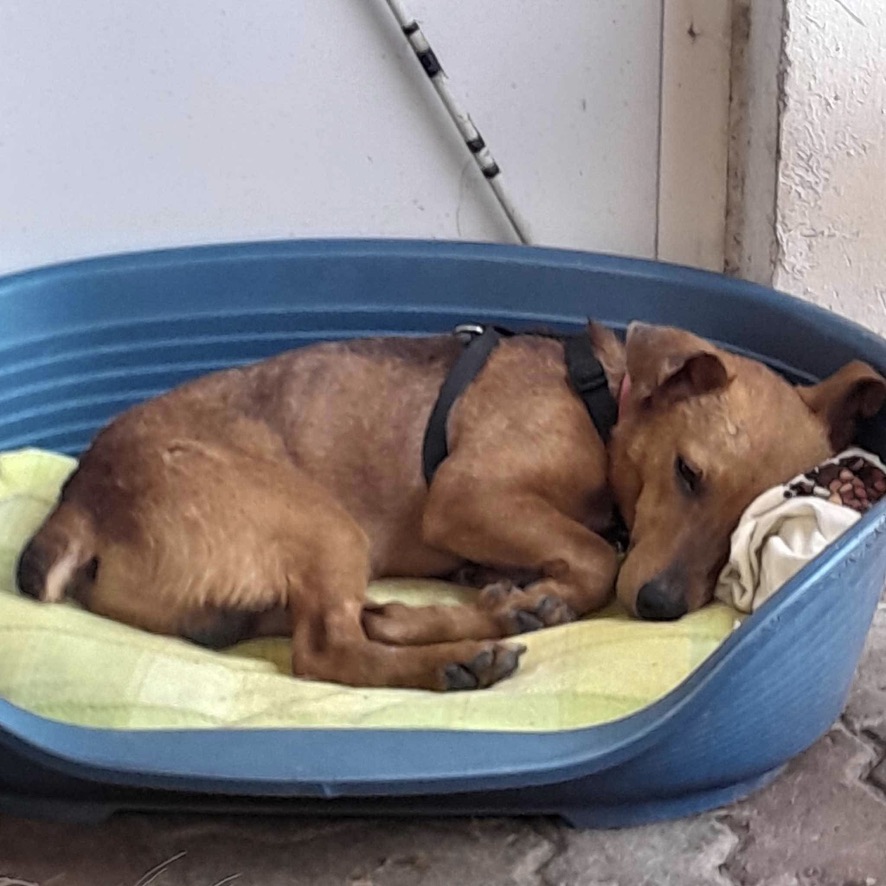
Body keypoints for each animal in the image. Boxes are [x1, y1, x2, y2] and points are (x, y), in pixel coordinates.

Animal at [15, 324, 886, 692]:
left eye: (745, 519)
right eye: (687, 473)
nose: (664, 607)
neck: (601, 403)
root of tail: (82, 503)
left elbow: (586, 557)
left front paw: (526, 592)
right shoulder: (468, 493)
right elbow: (596, 559)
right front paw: (551, 590)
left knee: (346, 625)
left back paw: (481, 615)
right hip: (322, 521)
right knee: (326, 650)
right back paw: (457, 653)